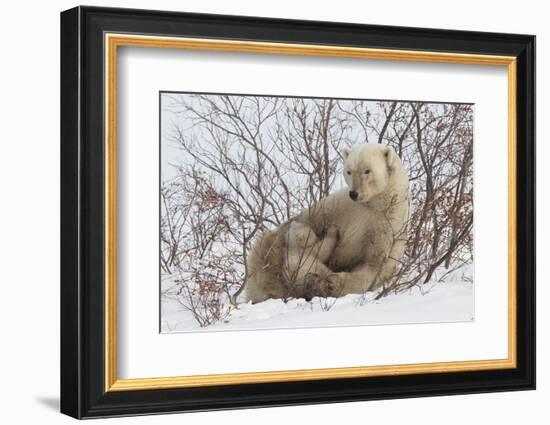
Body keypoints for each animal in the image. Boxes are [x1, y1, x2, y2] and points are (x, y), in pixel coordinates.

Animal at [246, 144, 410, 304]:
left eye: (367, 170)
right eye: (349, 171)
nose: (354, 193)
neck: (375, 204)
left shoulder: (386, 225)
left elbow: (372, 265)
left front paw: (332, 283)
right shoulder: (337, 207)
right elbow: (312, 223)